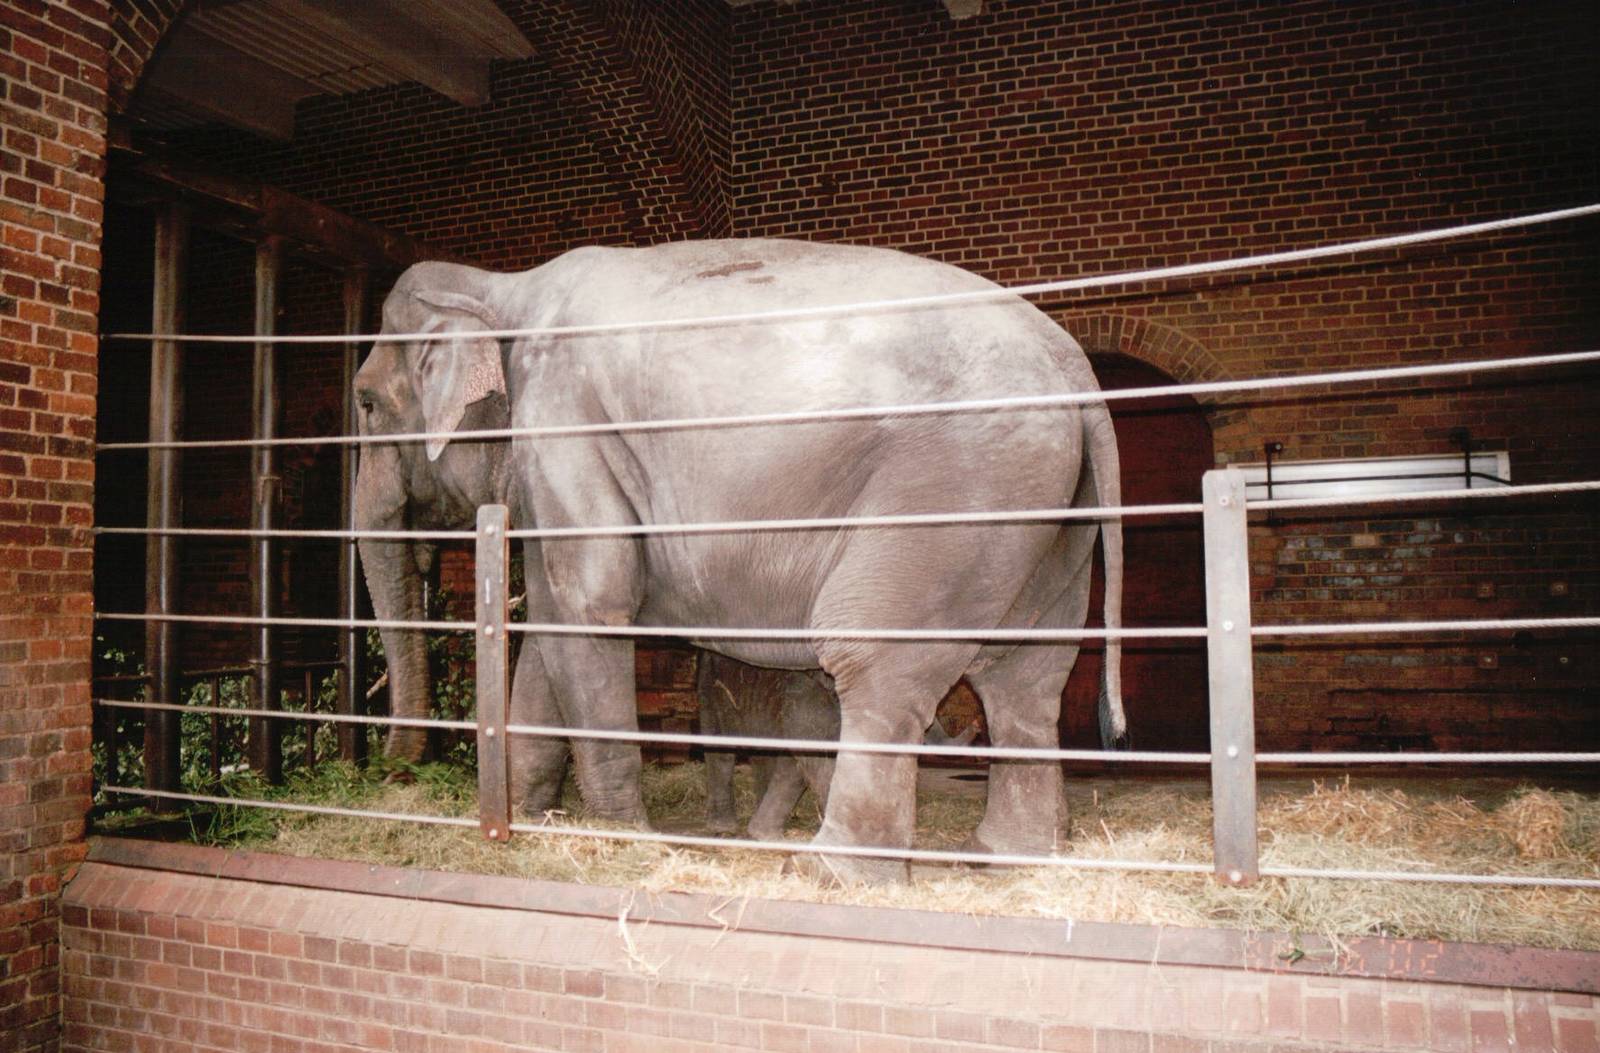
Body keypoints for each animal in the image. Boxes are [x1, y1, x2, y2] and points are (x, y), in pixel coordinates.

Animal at [697, 651, 978, 840]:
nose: (977, 723)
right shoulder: (804, 700)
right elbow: (811, 760)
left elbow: (794, 765)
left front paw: (766, 834)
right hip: (709, 689)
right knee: (720, 752)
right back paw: (723, 827)